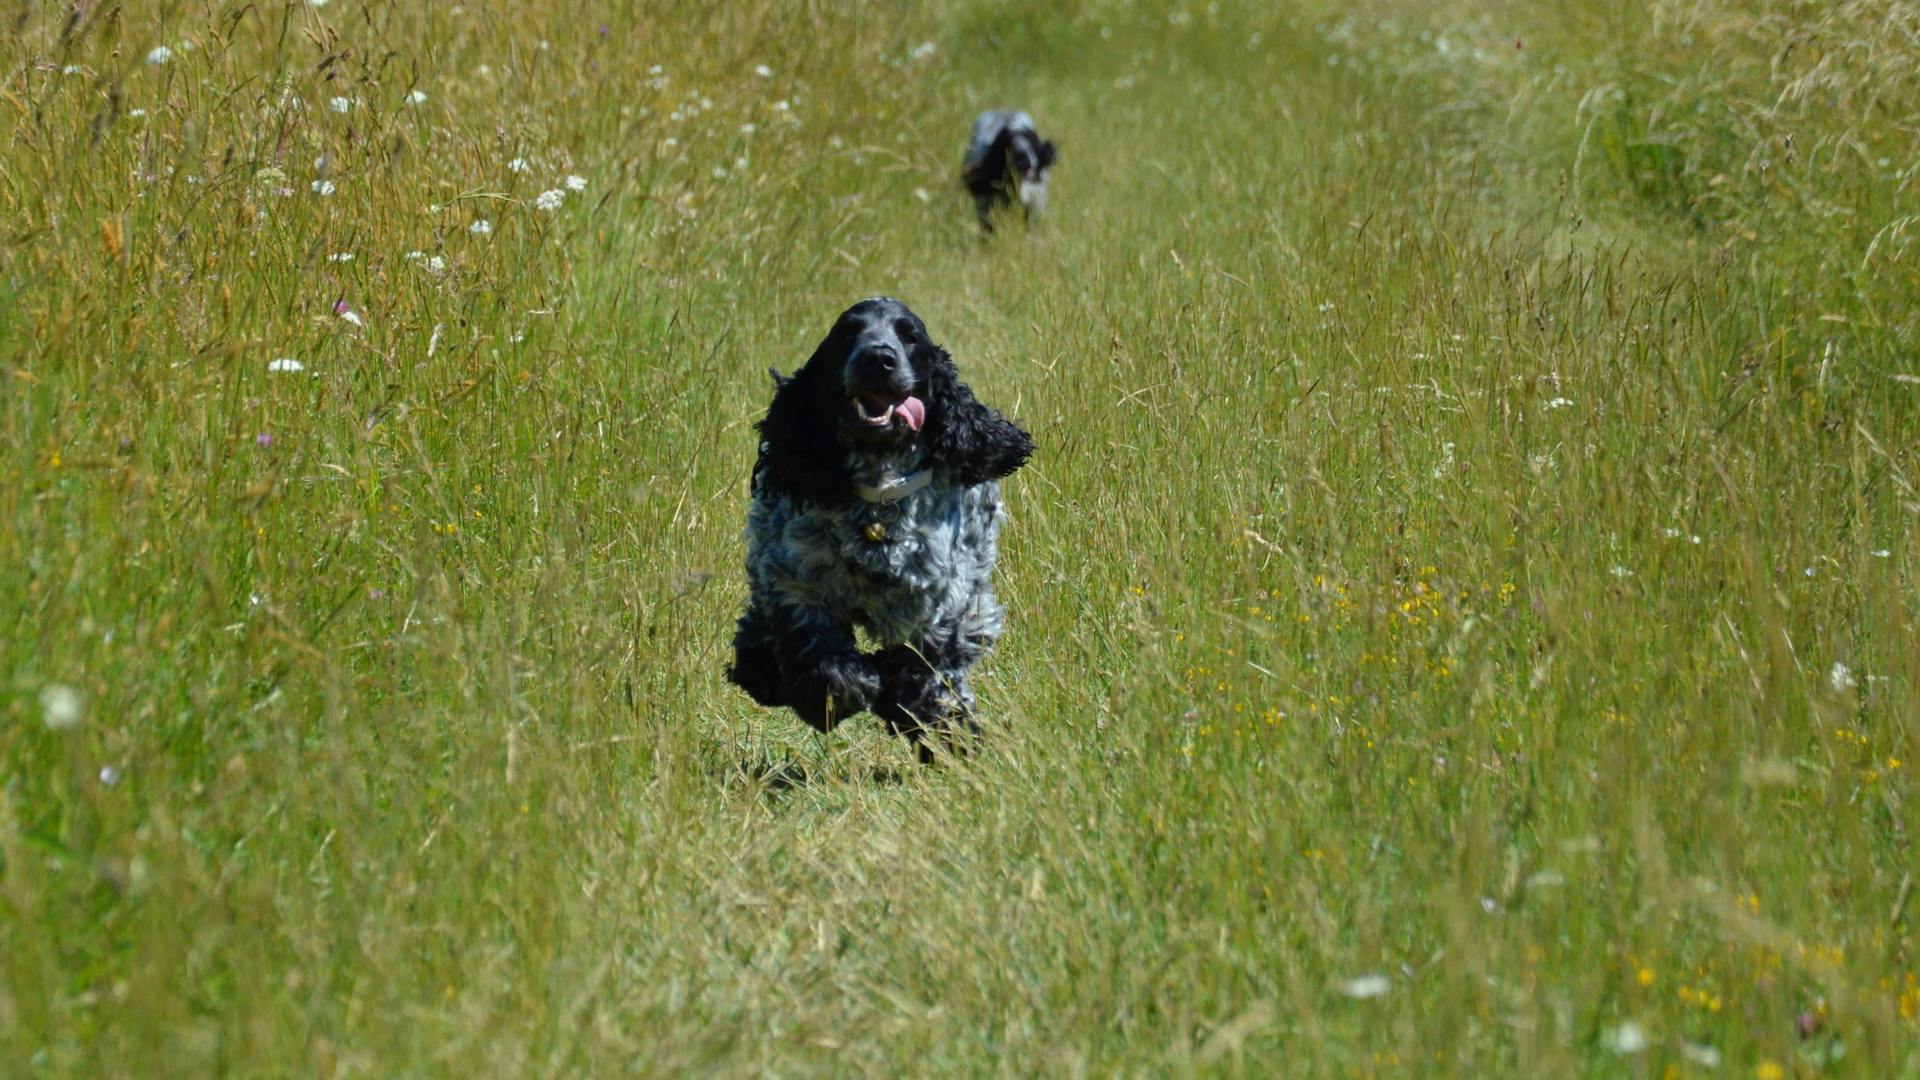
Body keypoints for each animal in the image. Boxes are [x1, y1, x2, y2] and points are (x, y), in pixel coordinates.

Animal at [725, 290, 1036, 753]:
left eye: (909, 336)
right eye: (847, 334)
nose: (878, 358)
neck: (879, 493)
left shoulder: (948, 601)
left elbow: (927, 667)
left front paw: (936, 724)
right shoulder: (794, 582)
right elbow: (818, 652)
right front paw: (844, 690)